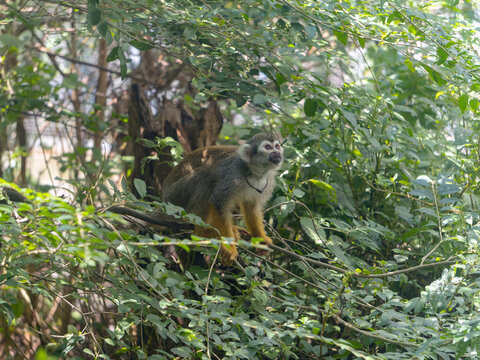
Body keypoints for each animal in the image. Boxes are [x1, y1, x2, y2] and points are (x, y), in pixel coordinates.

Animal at [163, 132, 284, 264]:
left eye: (277, 146)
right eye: (267, 147)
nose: (277, 153)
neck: (253, 172)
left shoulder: (268, 182)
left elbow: (251, 208)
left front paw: (261, 238)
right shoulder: (231, 175)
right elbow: (218, 203)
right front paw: (229, 247)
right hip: (176, 199)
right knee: (205, 178)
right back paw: (203, 232)